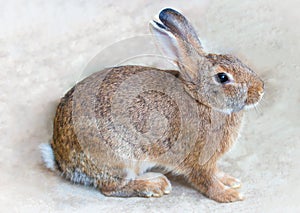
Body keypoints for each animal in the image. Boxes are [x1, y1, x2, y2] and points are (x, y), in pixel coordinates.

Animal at [40, 7, 264, 202]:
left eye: (235, 59)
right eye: (223, 77)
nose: (261, 90)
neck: (202, 100)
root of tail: (62, 160)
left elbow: (216, 172)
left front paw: (231, 181)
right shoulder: (199, 159)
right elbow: (206, 181)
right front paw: (230, 195)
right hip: (120, 157)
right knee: (111, 188)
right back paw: (154, 185)